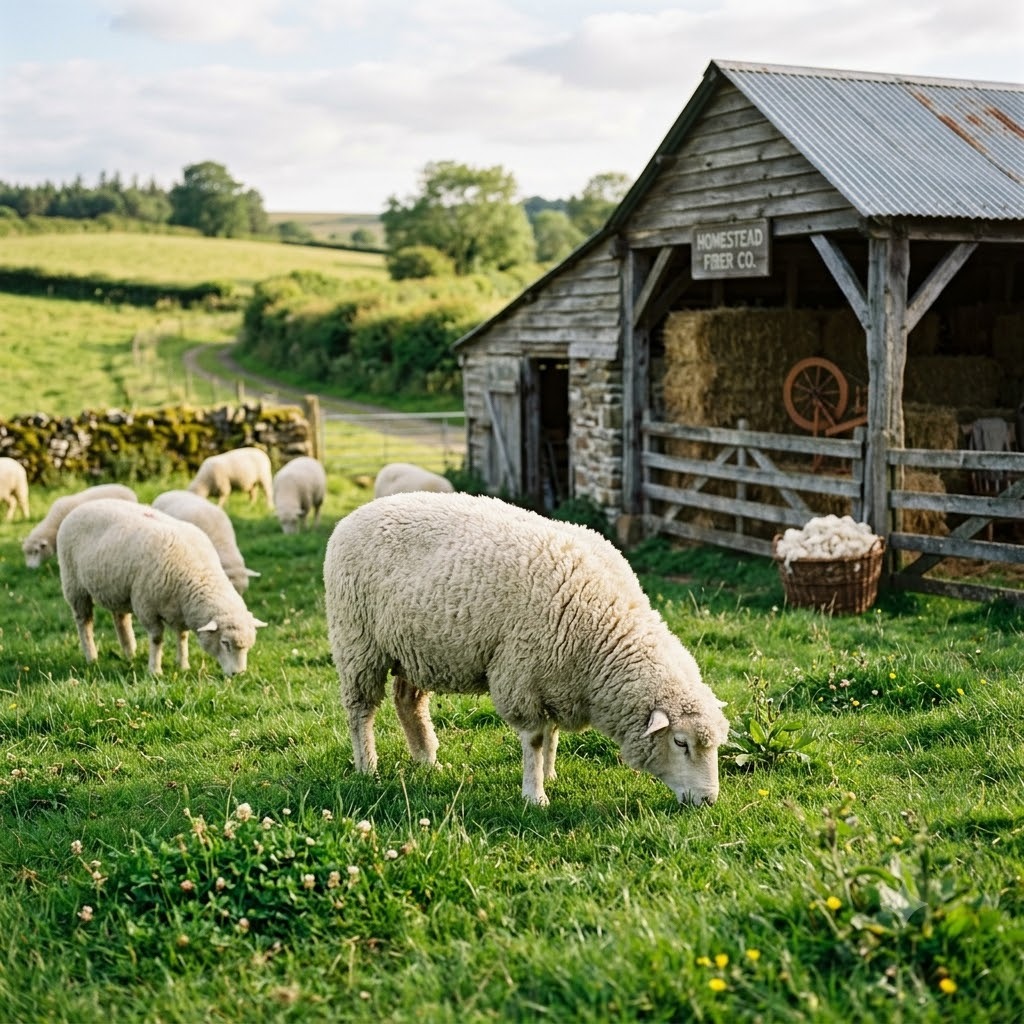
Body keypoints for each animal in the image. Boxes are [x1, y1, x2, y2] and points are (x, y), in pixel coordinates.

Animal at [56, 499, 266, 675]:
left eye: (248, 646)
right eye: (225, 643)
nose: (238, 674)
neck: (198, 573)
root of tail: (82, 505)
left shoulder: (180, 610)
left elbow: (182, 637)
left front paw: (183, 665)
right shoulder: (146, 607)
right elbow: (157, 639)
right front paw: (155, 670)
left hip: (117, 588)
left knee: (120, 619)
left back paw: (130, 653)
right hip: (74, 585)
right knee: (84, 622)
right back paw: (92, 657)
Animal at [323, 492, 729, 807]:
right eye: (680, 742)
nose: (709, 801)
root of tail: (357, 513)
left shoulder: (556, 678)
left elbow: (552, 734)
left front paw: (549, 774)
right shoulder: (522, 676)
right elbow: (534, 738)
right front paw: (535, 796)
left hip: (414, 647)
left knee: (408, 703)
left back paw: (428, 761)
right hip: (357, 640)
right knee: (360, 710)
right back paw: (368, 766)